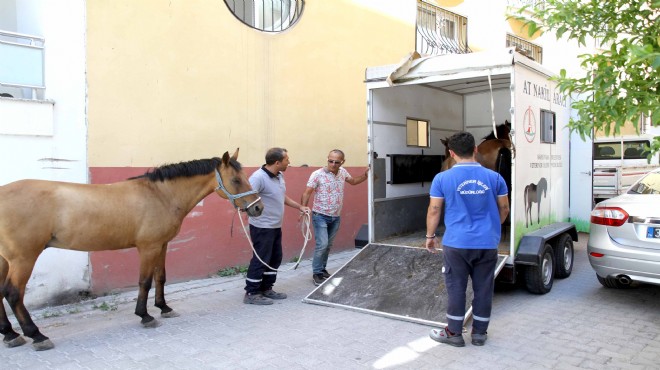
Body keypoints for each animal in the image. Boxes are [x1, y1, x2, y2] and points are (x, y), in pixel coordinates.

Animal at [0, 147, 262, 350]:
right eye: (236, 180)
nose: (257, 208)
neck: (161, 195)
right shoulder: (148, 247)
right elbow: (144, 281)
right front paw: (145, 315)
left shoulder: (162, 245)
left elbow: (160, 277)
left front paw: (164, 307)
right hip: (24, 258)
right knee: (13, 293)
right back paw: (36, 335)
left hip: (5, 259)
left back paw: (11, 334)